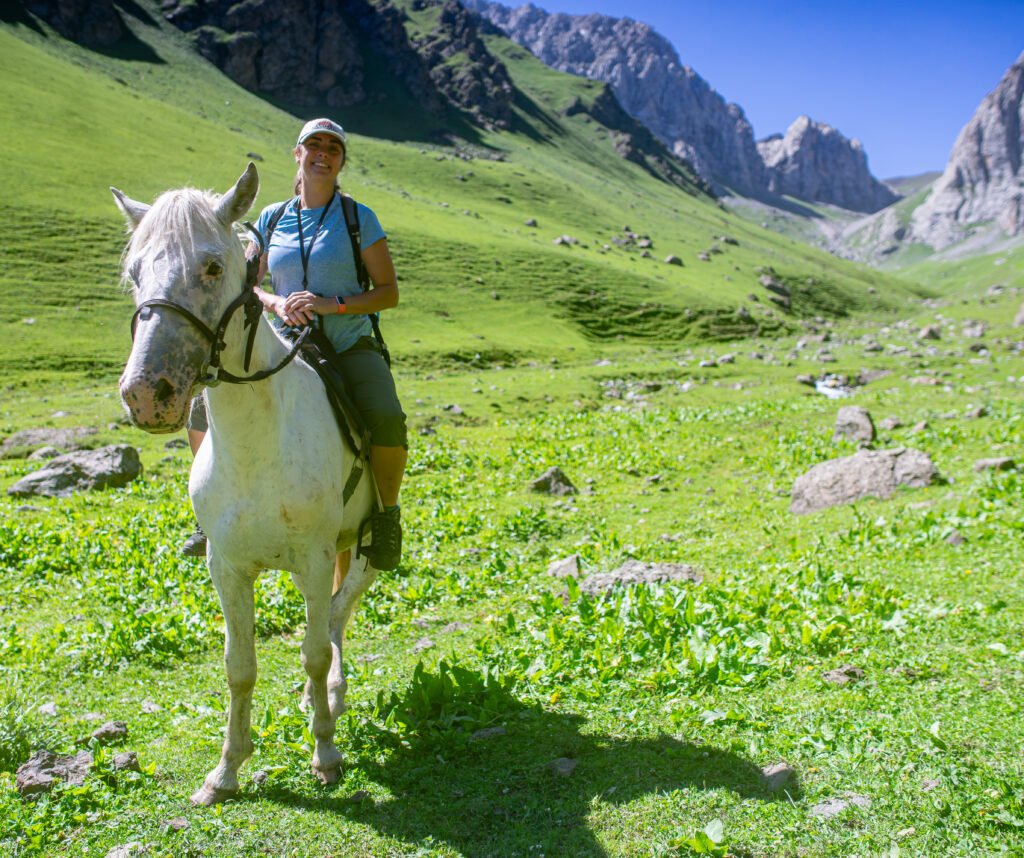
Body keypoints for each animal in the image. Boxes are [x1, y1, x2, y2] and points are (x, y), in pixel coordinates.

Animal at [112, 163, 379, 805]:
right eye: (135, 272)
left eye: (212, 266)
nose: (145, 393)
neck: (258, 445)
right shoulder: (227, 567)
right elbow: (240, 665)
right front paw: (226, 770)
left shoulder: (312, 559)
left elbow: (312, 651)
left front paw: (325, 754)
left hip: (363, 545)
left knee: (339, 611)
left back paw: (329, 700)